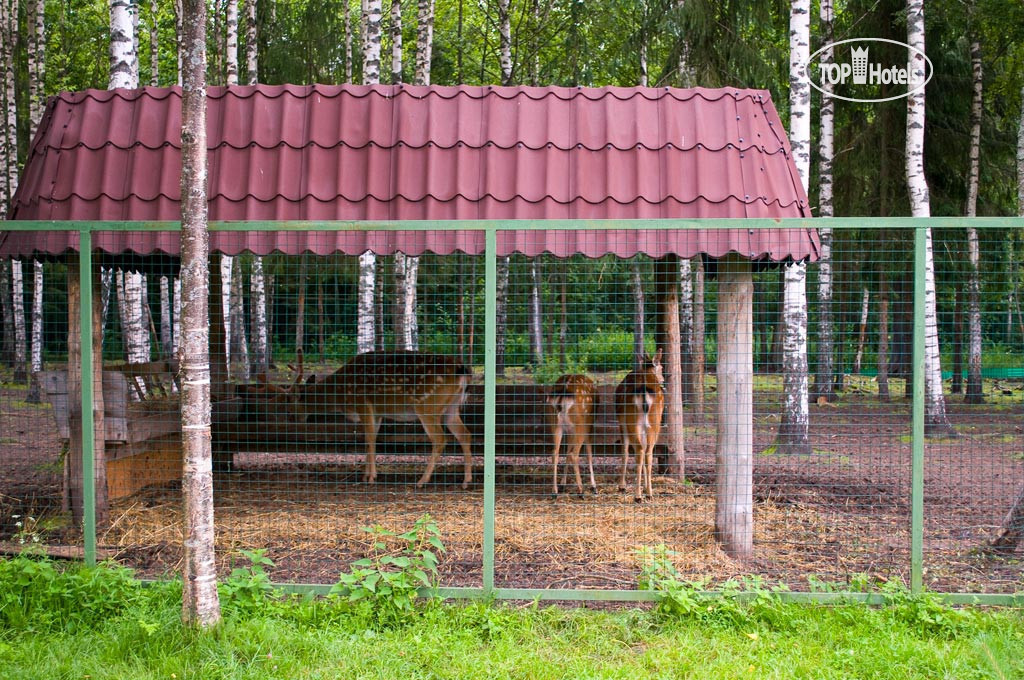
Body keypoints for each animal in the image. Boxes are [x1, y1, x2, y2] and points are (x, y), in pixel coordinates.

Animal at [264, 350, 471, 489]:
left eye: (289, 403)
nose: (291, 418)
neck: (341, 394)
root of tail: (461, 371)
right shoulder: (377, 412)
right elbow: (370, 440)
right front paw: (367, 475)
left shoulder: (363, 404)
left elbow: (369, 439)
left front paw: (370, 478)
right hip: (451, 408)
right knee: (465, 435)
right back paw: (465, 481)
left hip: (426, 405)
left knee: (440, 439)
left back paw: (422, 481)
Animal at [610, 350, 667, 499]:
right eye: (661, 368)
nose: (663, 381)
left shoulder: (623, 423)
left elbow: (625, 451)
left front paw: (623, 486)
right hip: (653, 423)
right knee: (647, 452)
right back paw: (647, 493)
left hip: (634, 422)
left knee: (640, 451)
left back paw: (639, 495)